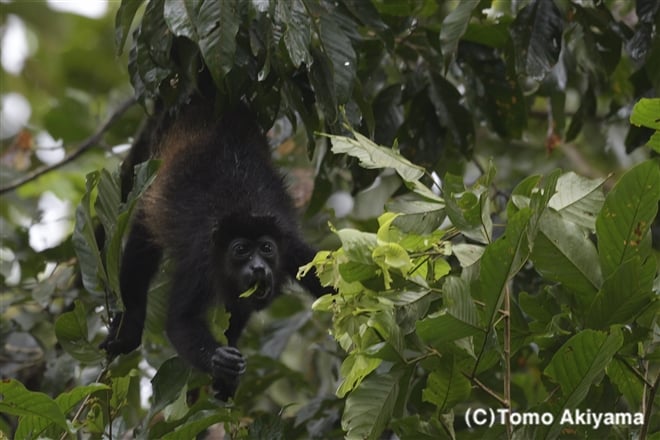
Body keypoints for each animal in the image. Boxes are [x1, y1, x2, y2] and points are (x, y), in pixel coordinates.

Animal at [100, 98, 328, 400]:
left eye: (266, 248)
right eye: (241, 249)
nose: (258, 266)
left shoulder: (291, 249)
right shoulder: (200, 260)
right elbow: (181, 320)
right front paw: (218, 361)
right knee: (144, 241)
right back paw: (129, 329)